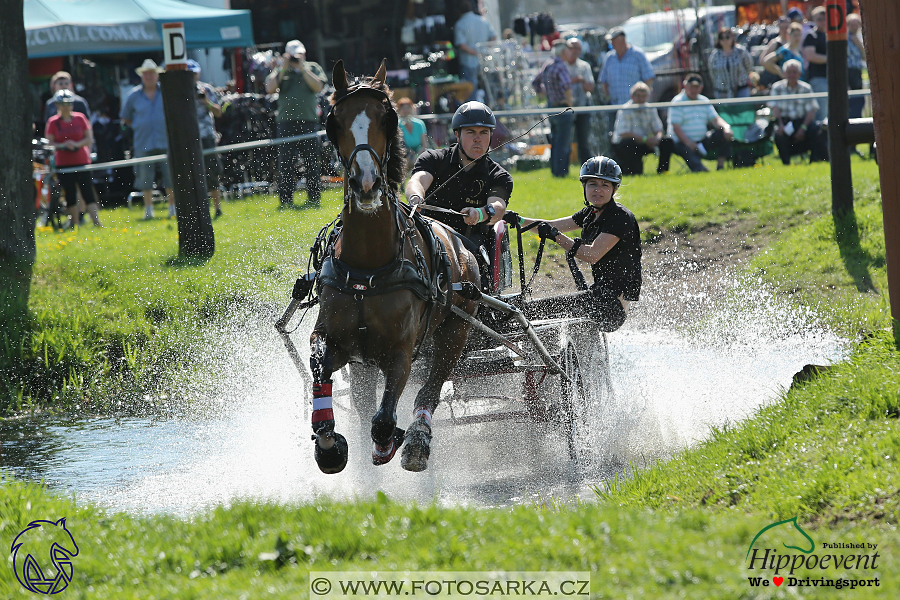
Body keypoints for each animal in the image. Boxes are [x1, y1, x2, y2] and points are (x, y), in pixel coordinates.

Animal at [308, 61, 482, 474]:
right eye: (334, 121)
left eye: (385, 119)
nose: (366, 182)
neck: (368, 268)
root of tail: (462, 244)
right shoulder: (335, 339)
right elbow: (319, 368)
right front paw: (329, 445)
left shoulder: (402, 351)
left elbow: (385, 419)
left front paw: (389, 442)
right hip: (366, 362)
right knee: (363, 402)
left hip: (456, 331)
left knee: (430, 389)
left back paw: (417, 439)